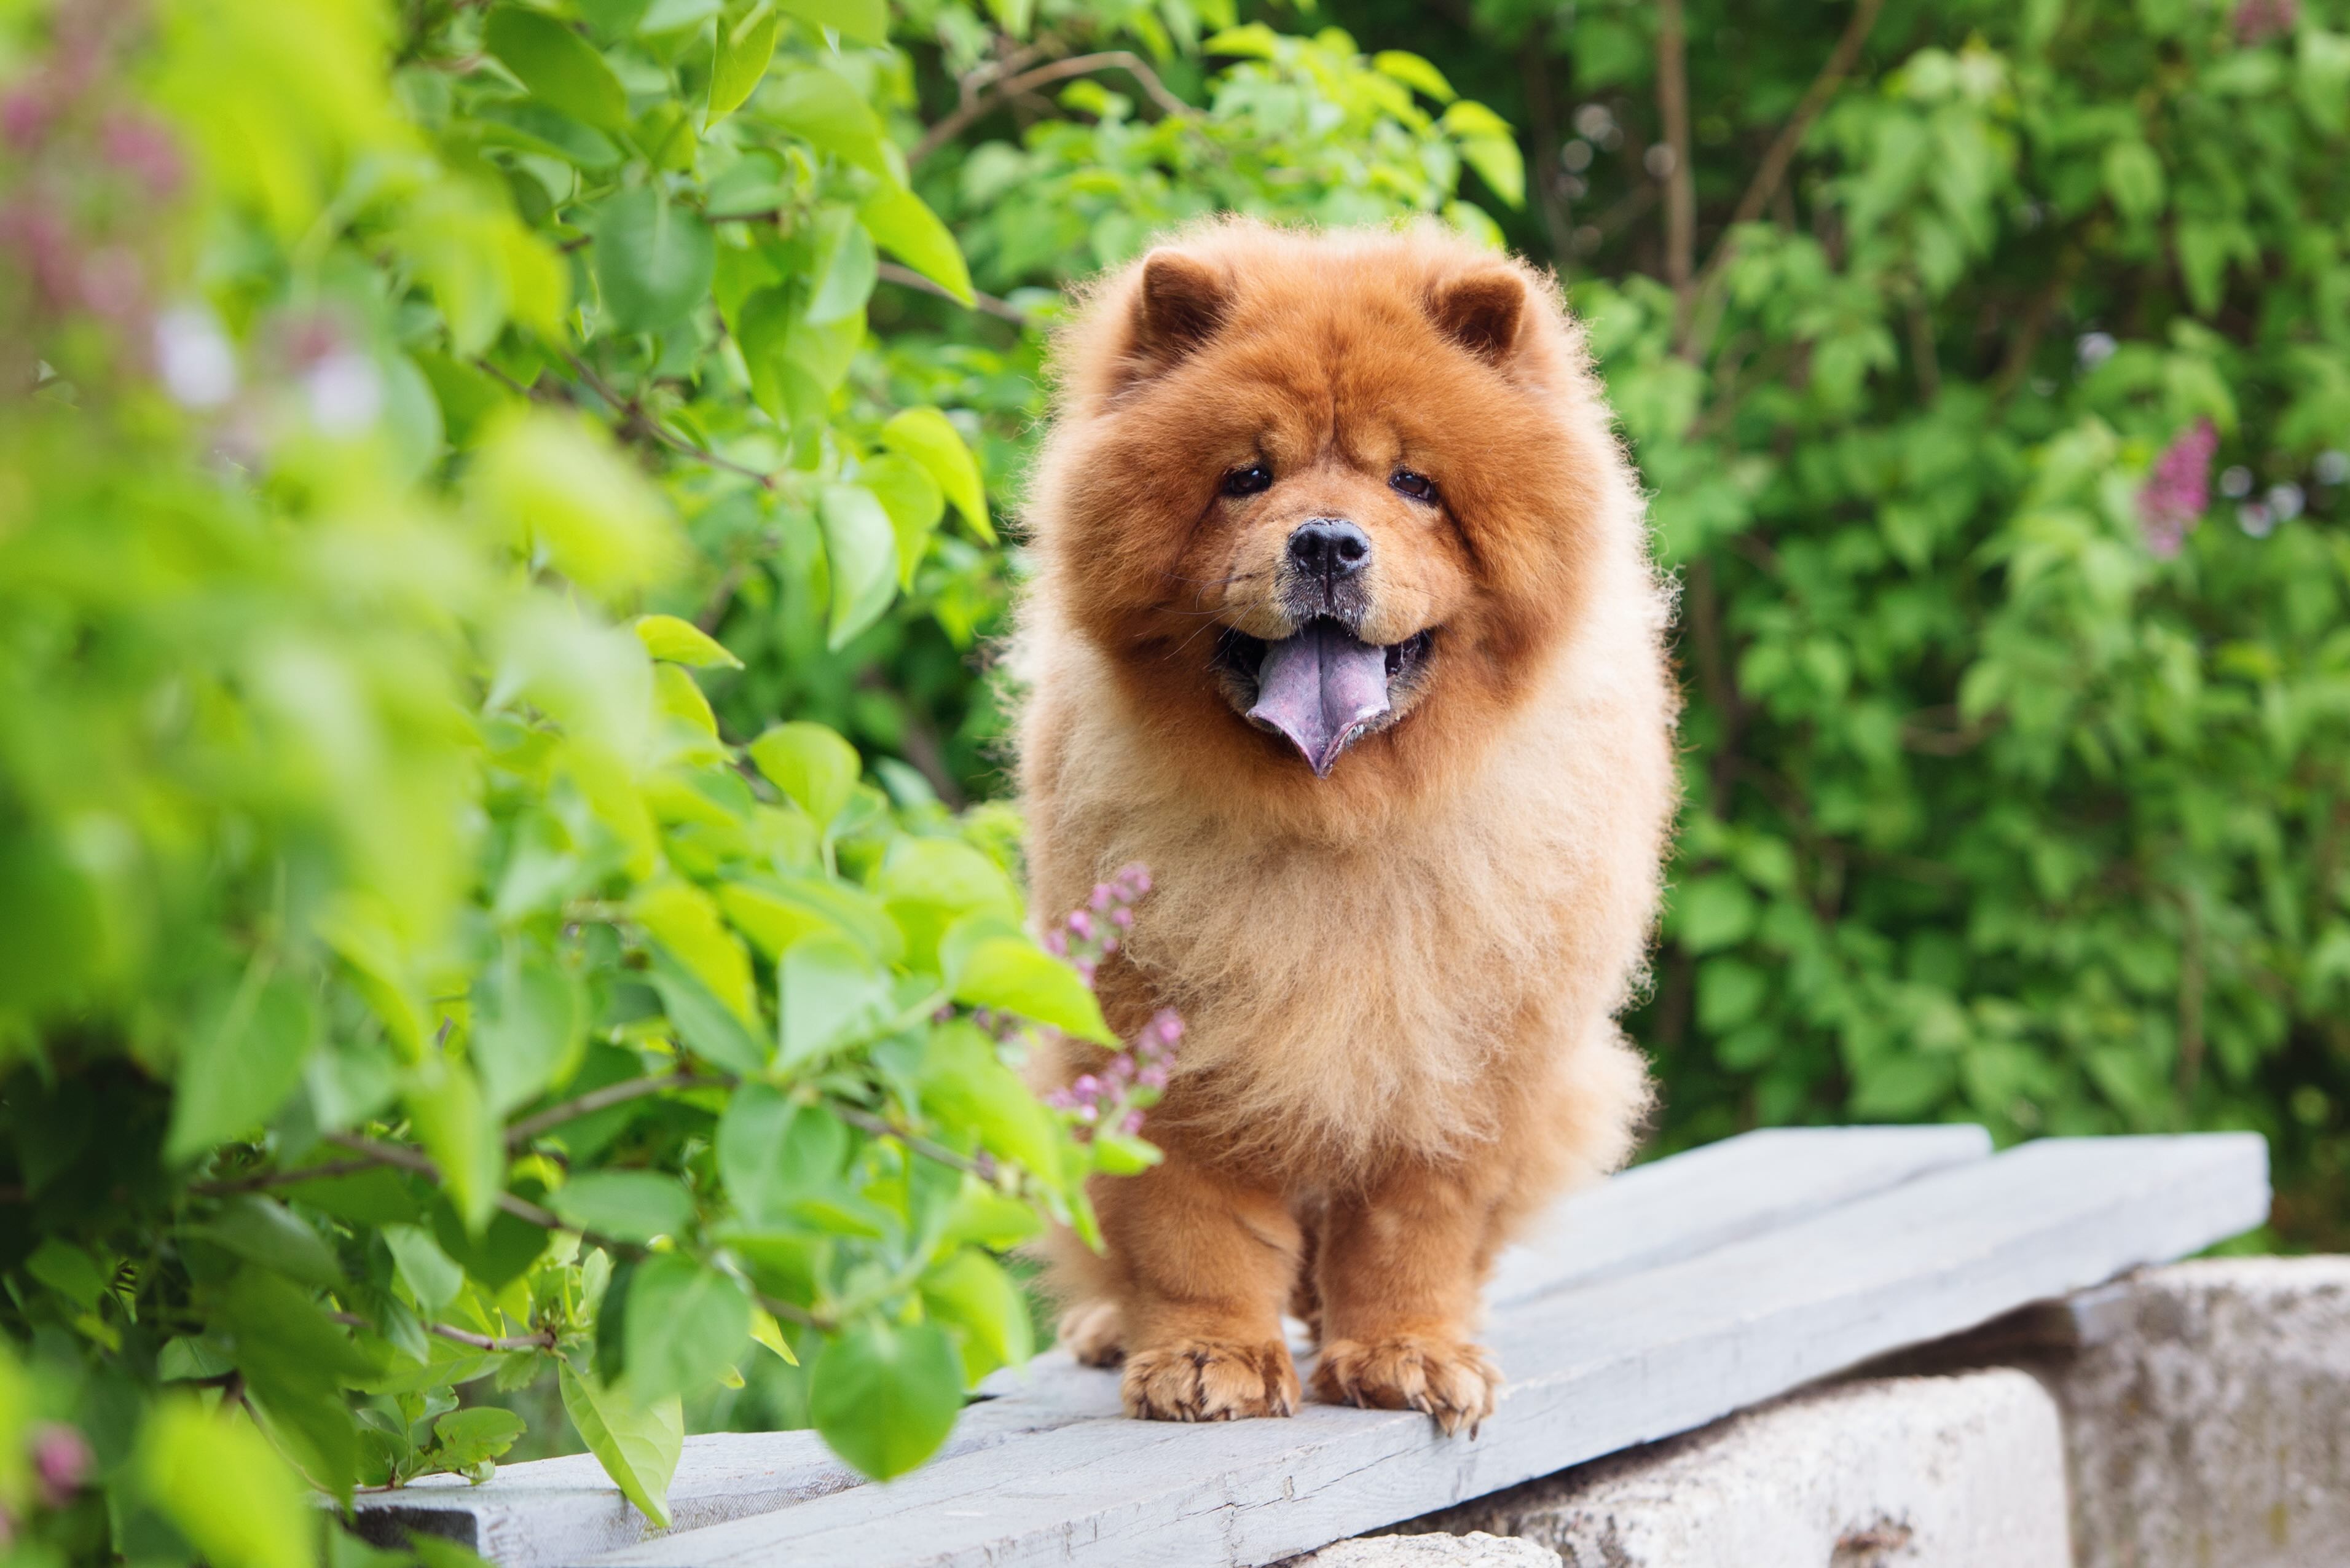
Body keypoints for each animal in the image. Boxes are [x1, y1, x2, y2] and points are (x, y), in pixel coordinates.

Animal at [1010, 221, 1673, 1438]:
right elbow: (1191, 1228)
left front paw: (1408, 1356)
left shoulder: (1460, 1065)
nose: (1325, 542)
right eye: (1247, 476)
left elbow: (1413, 1233)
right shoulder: (1161, 1043)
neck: (1339, 823)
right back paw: (1111, 1329)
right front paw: (1204, 1361)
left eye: (1413, 482)